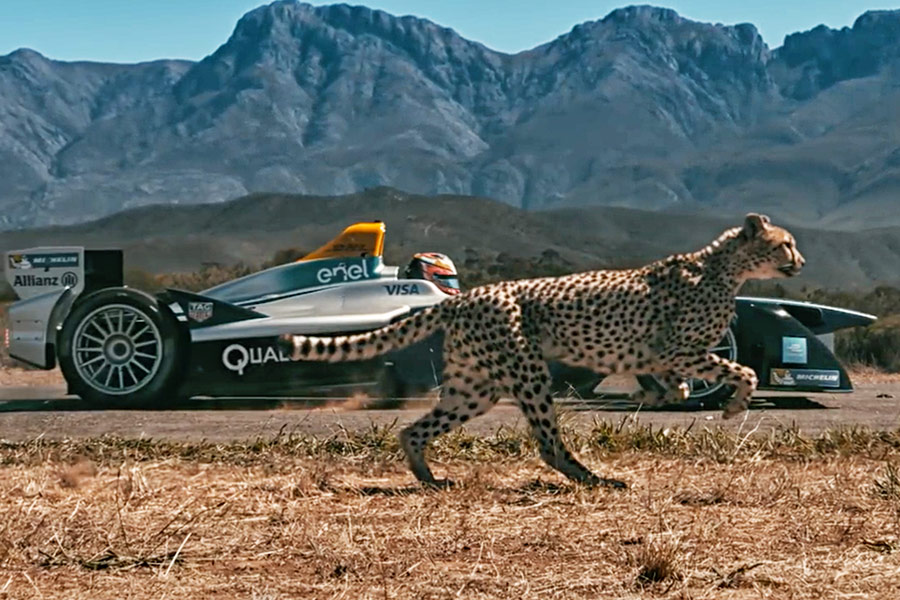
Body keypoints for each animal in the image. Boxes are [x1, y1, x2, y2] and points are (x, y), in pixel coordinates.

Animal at [279, 213, 804, 489]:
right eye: (786, 244)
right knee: (548, 442)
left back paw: (429, 476)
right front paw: (733, 407)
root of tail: (470, 295)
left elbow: (677, 382)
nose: (799, 261)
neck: (725, 268)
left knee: (414, 428)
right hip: (527, 374)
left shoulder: (662, 355)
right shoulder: (680, 348)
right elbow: (742, 371)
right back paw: (594, 478)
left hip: (474, 388)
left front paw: (660, 396)